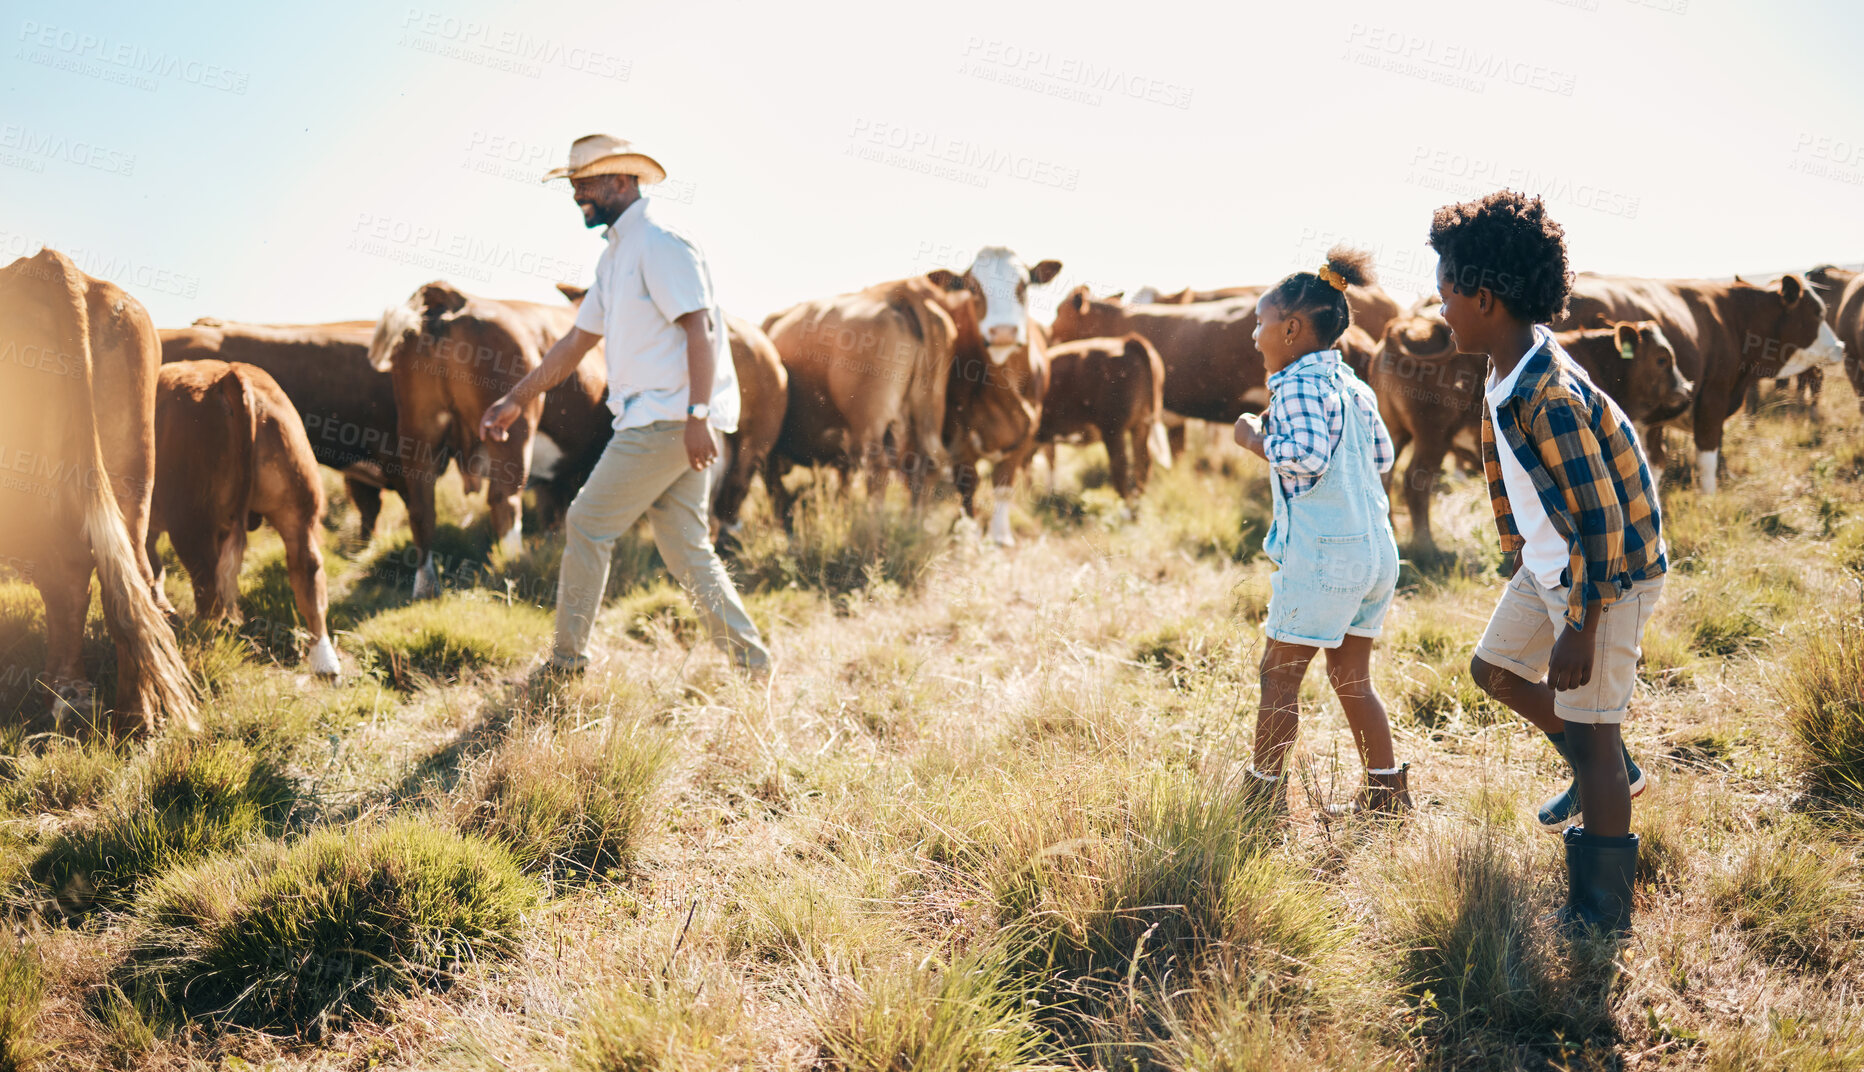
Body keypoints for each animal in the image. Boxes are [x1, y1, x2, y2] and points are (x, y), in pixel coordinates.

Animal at [0, 249, 194, 738]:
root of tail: (47, 261)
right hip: (131, 478)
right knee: (130, 579)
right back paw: (136, 715)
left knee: (66, 576)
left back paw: (67, 697)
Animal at [150, 365, 342, 674]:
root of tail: (231, 374)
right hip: (299, 507)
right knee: (309, 571)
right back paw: (325, 663)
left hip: (190, 520)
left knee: (209, 589)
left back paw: (196, 645)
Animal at [1550, 275, 1841, 495]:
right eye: (1818, 312)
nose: (1841, 346)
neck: (1732, 317)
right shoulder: (1712, 397)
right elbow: (1706, 455)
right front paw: (1709, 500)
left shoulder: (1653, 418)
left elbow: (1653, 462)